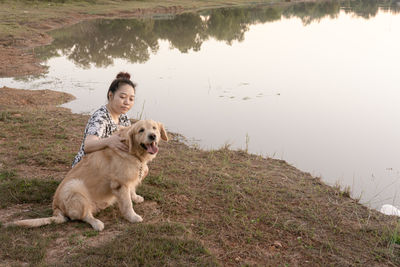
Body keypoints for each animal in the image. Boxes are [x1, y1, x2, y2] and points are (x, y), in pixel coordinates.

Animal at [7, 120, 167, 231]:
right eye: (141, 130)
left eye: (154, 128)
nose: (152, 136)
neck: (132, 151)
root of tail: (55, 208)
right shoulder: (119, 184)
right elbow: (127, 204)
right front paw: (133, 217)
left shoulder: (129, 179)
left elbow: (132, 191)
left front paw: (136, 197)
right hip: (75, 187)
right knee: (84, 216)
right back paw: (97, 223)